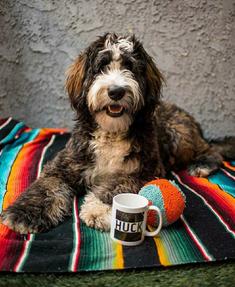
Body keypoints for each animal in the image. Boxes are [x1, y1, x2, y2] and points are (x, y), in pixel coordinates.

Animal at [0, 32, 234, 234]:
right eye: (101, 67)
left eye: (130, 67)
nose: (116, 91)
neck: (111, 132)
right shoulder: (63, 165)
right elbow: (46, 186)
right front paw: (25, 213)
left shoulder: (144, 170)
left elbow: (117, 185)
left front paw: (98, 208)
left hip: (177, 134)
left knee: (212, 149)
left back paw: (202, 164)